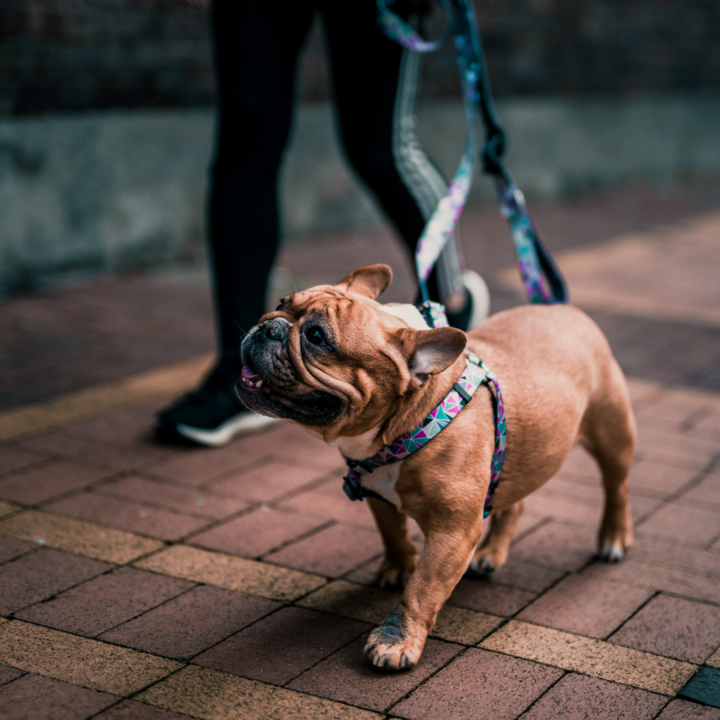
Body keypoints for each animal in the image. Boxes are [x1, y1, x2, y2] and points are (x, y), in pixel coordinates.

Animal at [238, 262, 636, 668]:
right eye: (281, 302)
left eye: (317, 337)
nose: (269, 326)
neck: (402, 424)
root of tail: (559, 305)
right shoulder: (378, 495)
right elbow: (392, 532)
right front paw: (397, 566)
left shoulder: (453, 532)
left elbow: (423, 587)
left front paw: (396, 641)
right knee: (515, 499)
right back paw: (492, 553)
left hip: (612, 433)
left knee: (616, 486)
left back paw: (613, 538)